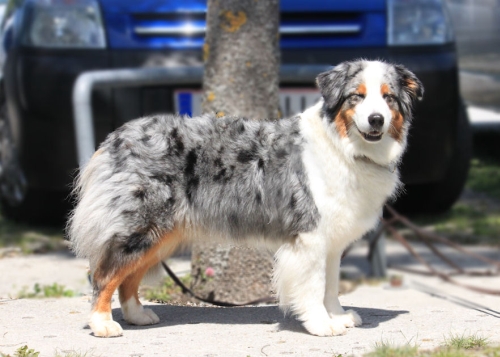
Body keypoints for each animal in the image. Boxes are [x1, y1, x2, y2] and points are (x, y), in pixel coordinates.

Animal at [68, 59, 424, 336]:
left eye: (389, 98)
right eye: (356, 97)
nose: (376, 119)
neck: (345, 147)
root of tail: (115, 137)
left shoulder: (333, 241)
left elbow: (331, 285)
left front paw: (337, 316)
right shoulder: (309, 237)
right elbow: (313, 286)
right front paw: (322, 325)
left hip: (161, 234)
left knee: (128, 277)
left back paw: (137, 315)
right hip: (141, 226)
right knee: (105, 274)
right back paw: (103, 324)